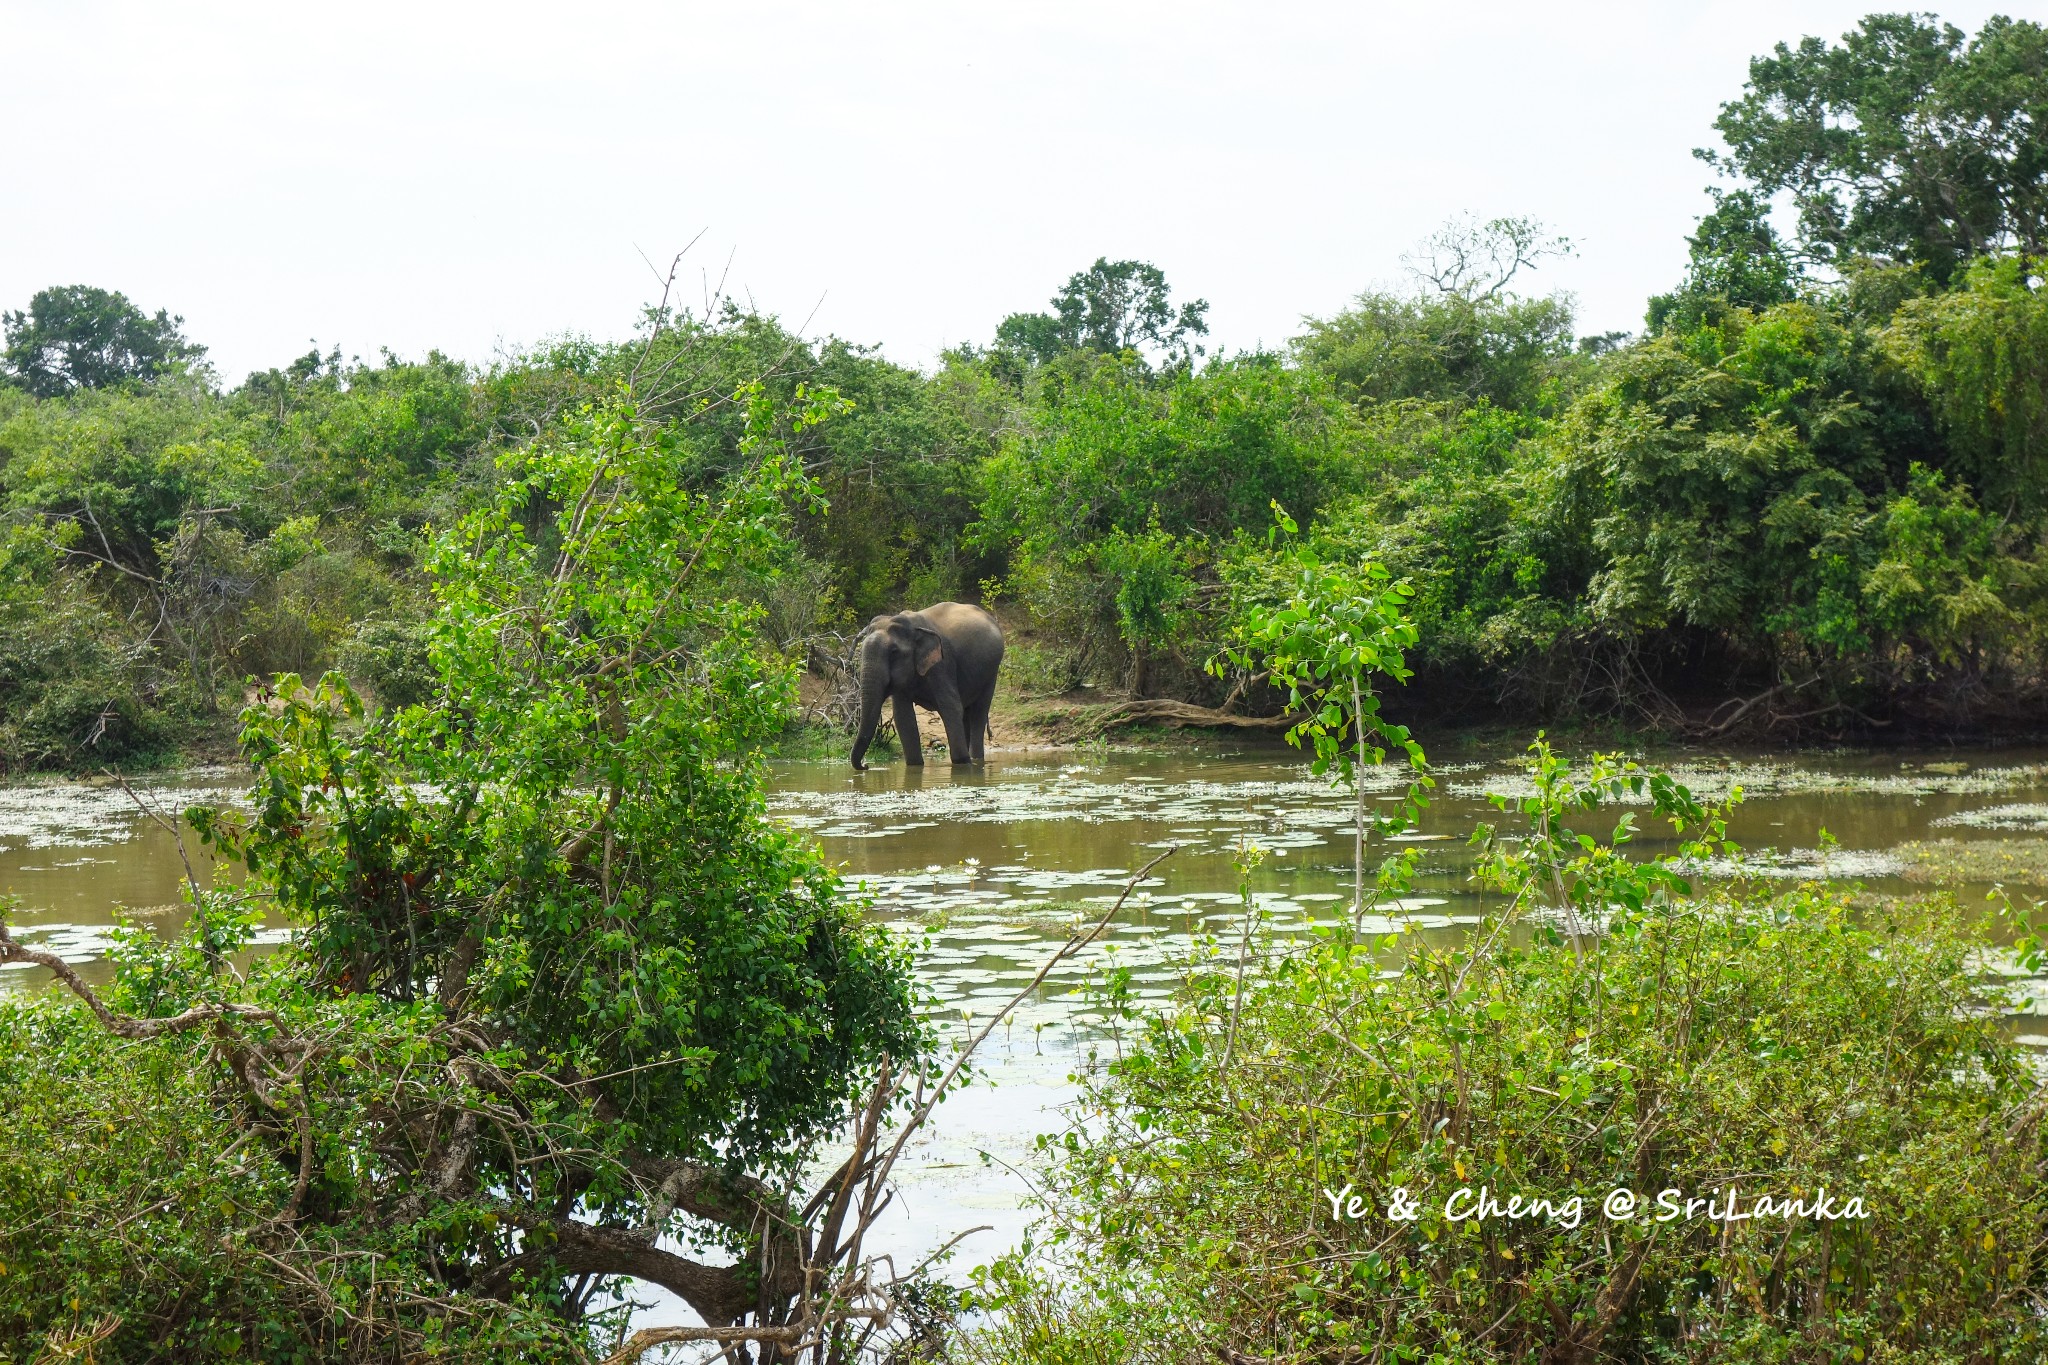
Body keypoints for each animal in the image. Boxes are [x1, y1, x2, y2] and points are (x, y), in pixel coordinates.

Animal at [851, 601, 1003, 769]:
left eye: (894, 652)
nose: (866, 765)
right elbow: (903, 717)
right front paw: (915, 766)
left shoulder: (942, 665)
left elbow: (951, 708)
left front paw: (962, 763)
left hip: (992, 672)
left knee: (978, 712)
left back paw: (976, 759)